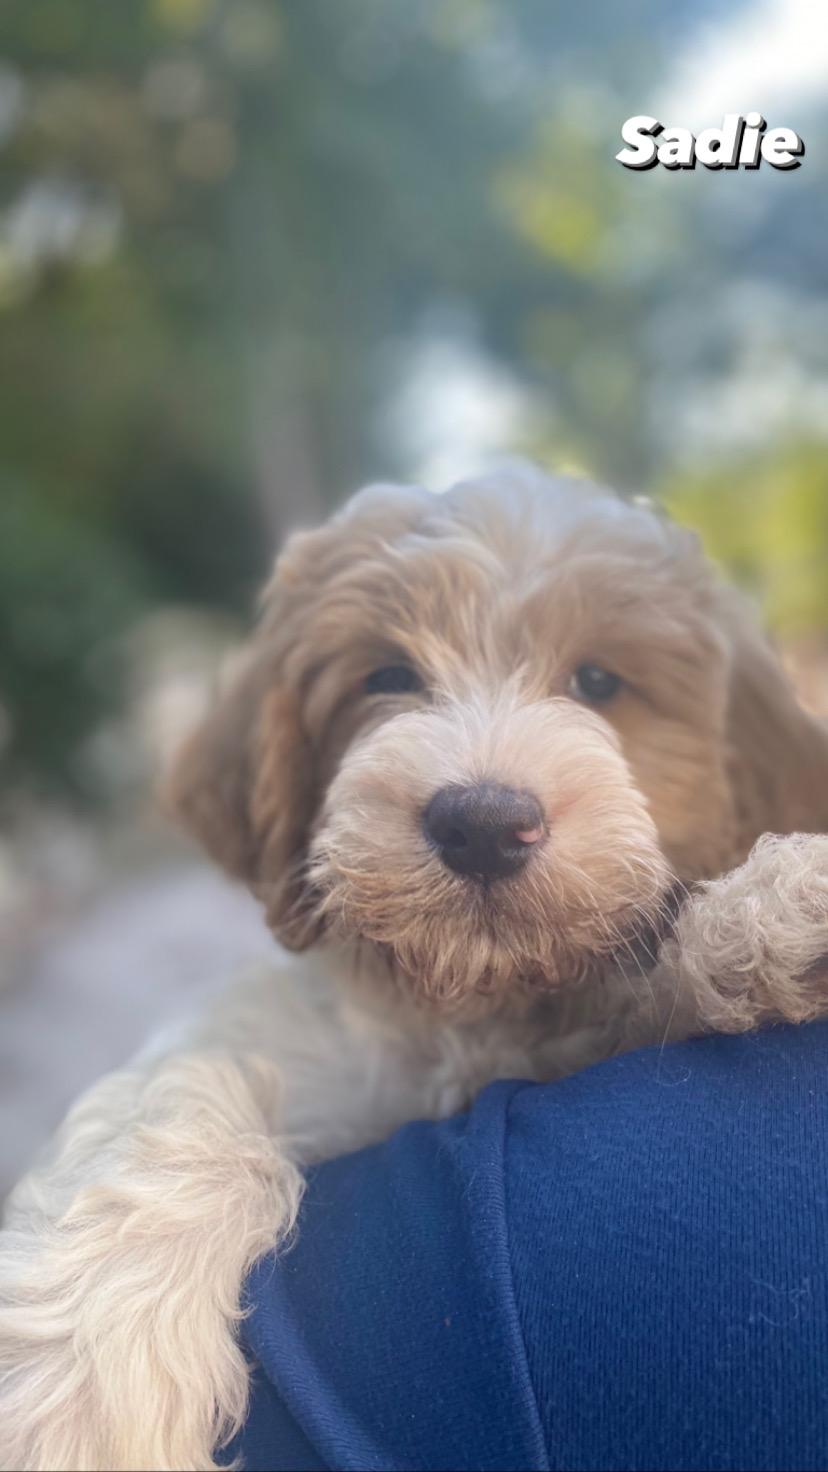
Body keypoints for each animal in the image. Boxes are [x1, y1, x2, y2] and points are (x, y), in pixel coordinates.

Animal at [2, 465, 828, 1471]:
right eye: (388, 677)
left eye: (599, 681)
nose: (482, 823)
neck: (466, 1007)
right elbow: (175, 1091)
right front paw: (77, 1393)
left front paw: (780, 906)